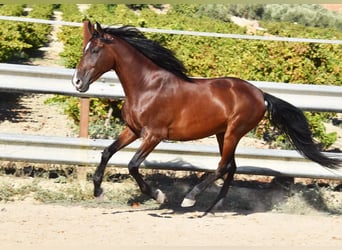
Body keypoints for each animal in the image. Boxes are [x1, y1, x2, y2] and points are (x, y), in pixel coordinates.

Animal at [71, 21, 340, 213]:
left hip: (234, 132)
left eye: (95, 50)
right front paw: (99, 191)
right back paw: (213, 207)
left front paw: (159, 195)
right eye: (84, 49)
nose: (77, 82)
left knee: (222, 166)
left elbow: (133, 165)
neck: (147, 86)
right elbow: (107, 153)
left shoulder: (154, 135)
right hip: (223, 133)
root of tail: (260, 94)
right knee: (231, 166)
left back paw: (191, 198)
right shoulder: (134, 130)